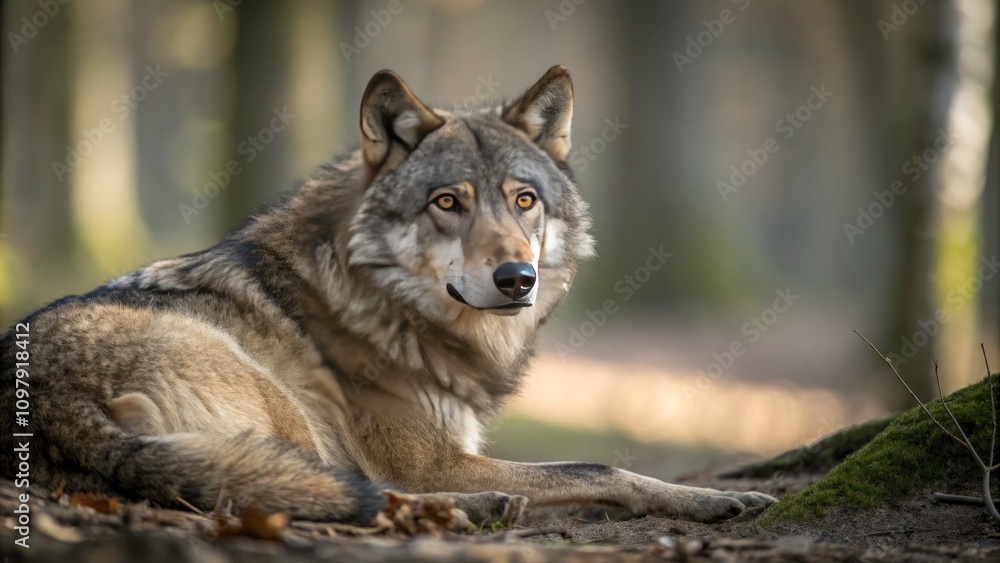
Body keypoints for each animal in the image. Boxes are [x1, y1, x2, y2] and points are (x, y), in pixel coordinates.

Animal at [1, 66, 776, 526]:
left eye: (524, 200)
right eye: (447, 202)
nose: (516, 278)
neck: (381, 305)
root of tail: (51, 404)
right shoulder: (426, 459)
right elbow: (598, 463)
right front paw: (720, 497)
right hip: (282, 404)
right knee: (340, 494)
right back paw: (480, 505)